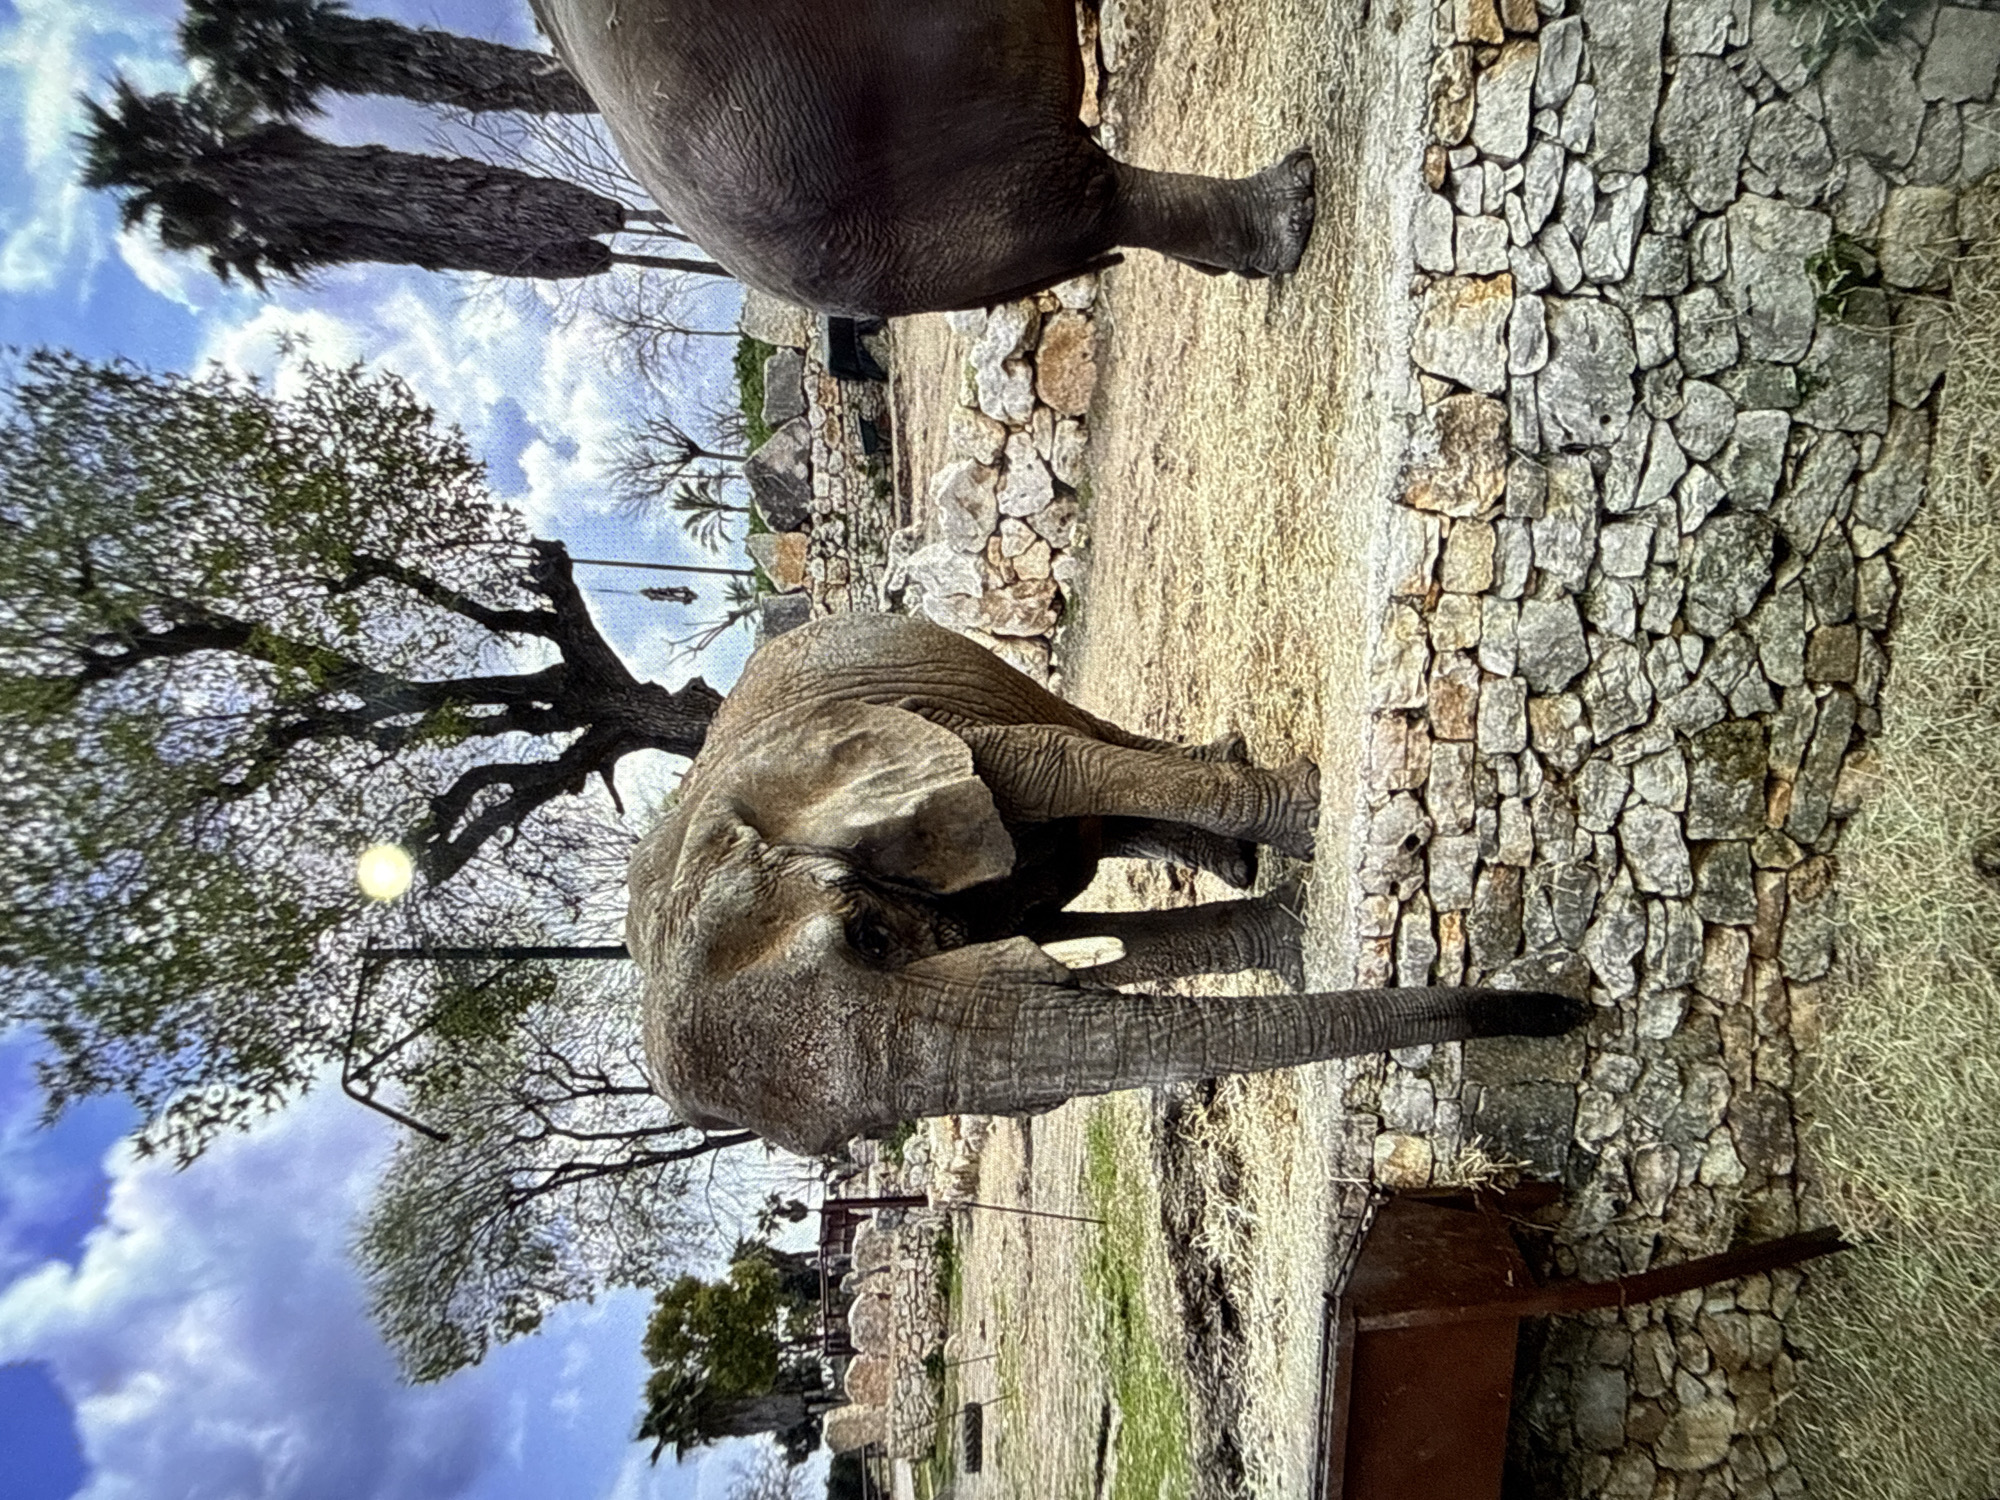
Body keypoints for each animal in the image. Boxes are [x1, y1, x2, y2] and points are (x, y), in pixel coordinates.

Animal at [626, 614, 1584, 1156]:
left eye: (868, 933)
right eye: (859, 1139)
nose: (1563, 1013)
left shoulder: (927, 732)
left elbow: (1045, 765)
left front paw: (1314, 828)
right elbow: (1071, 938)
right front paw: (1288, 932)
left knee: (1086, 735)